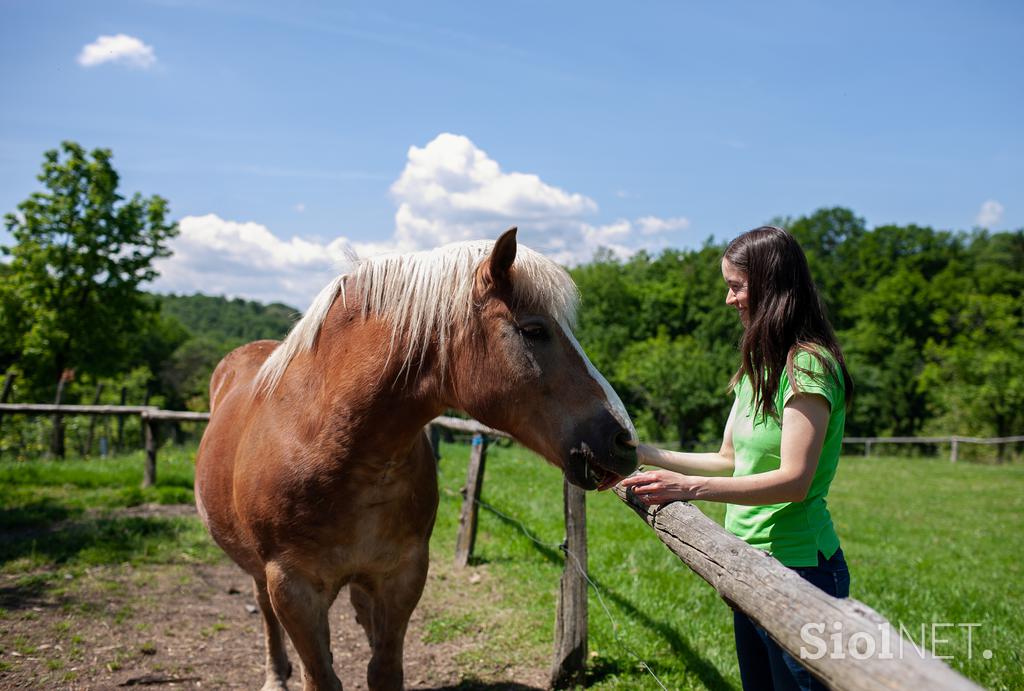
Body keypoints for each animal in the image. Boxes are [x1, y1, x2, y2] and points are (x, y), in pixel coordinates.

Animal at [193, 229, 630, 687]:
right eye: (533, 330)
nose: (624, 439)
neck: (326, 441)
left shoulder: (401, 576)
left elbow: (383, 669)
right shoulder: (293, 588)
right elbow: (321, 675)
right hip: (263, 576)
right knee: (264, 611)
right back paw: (276, 675)